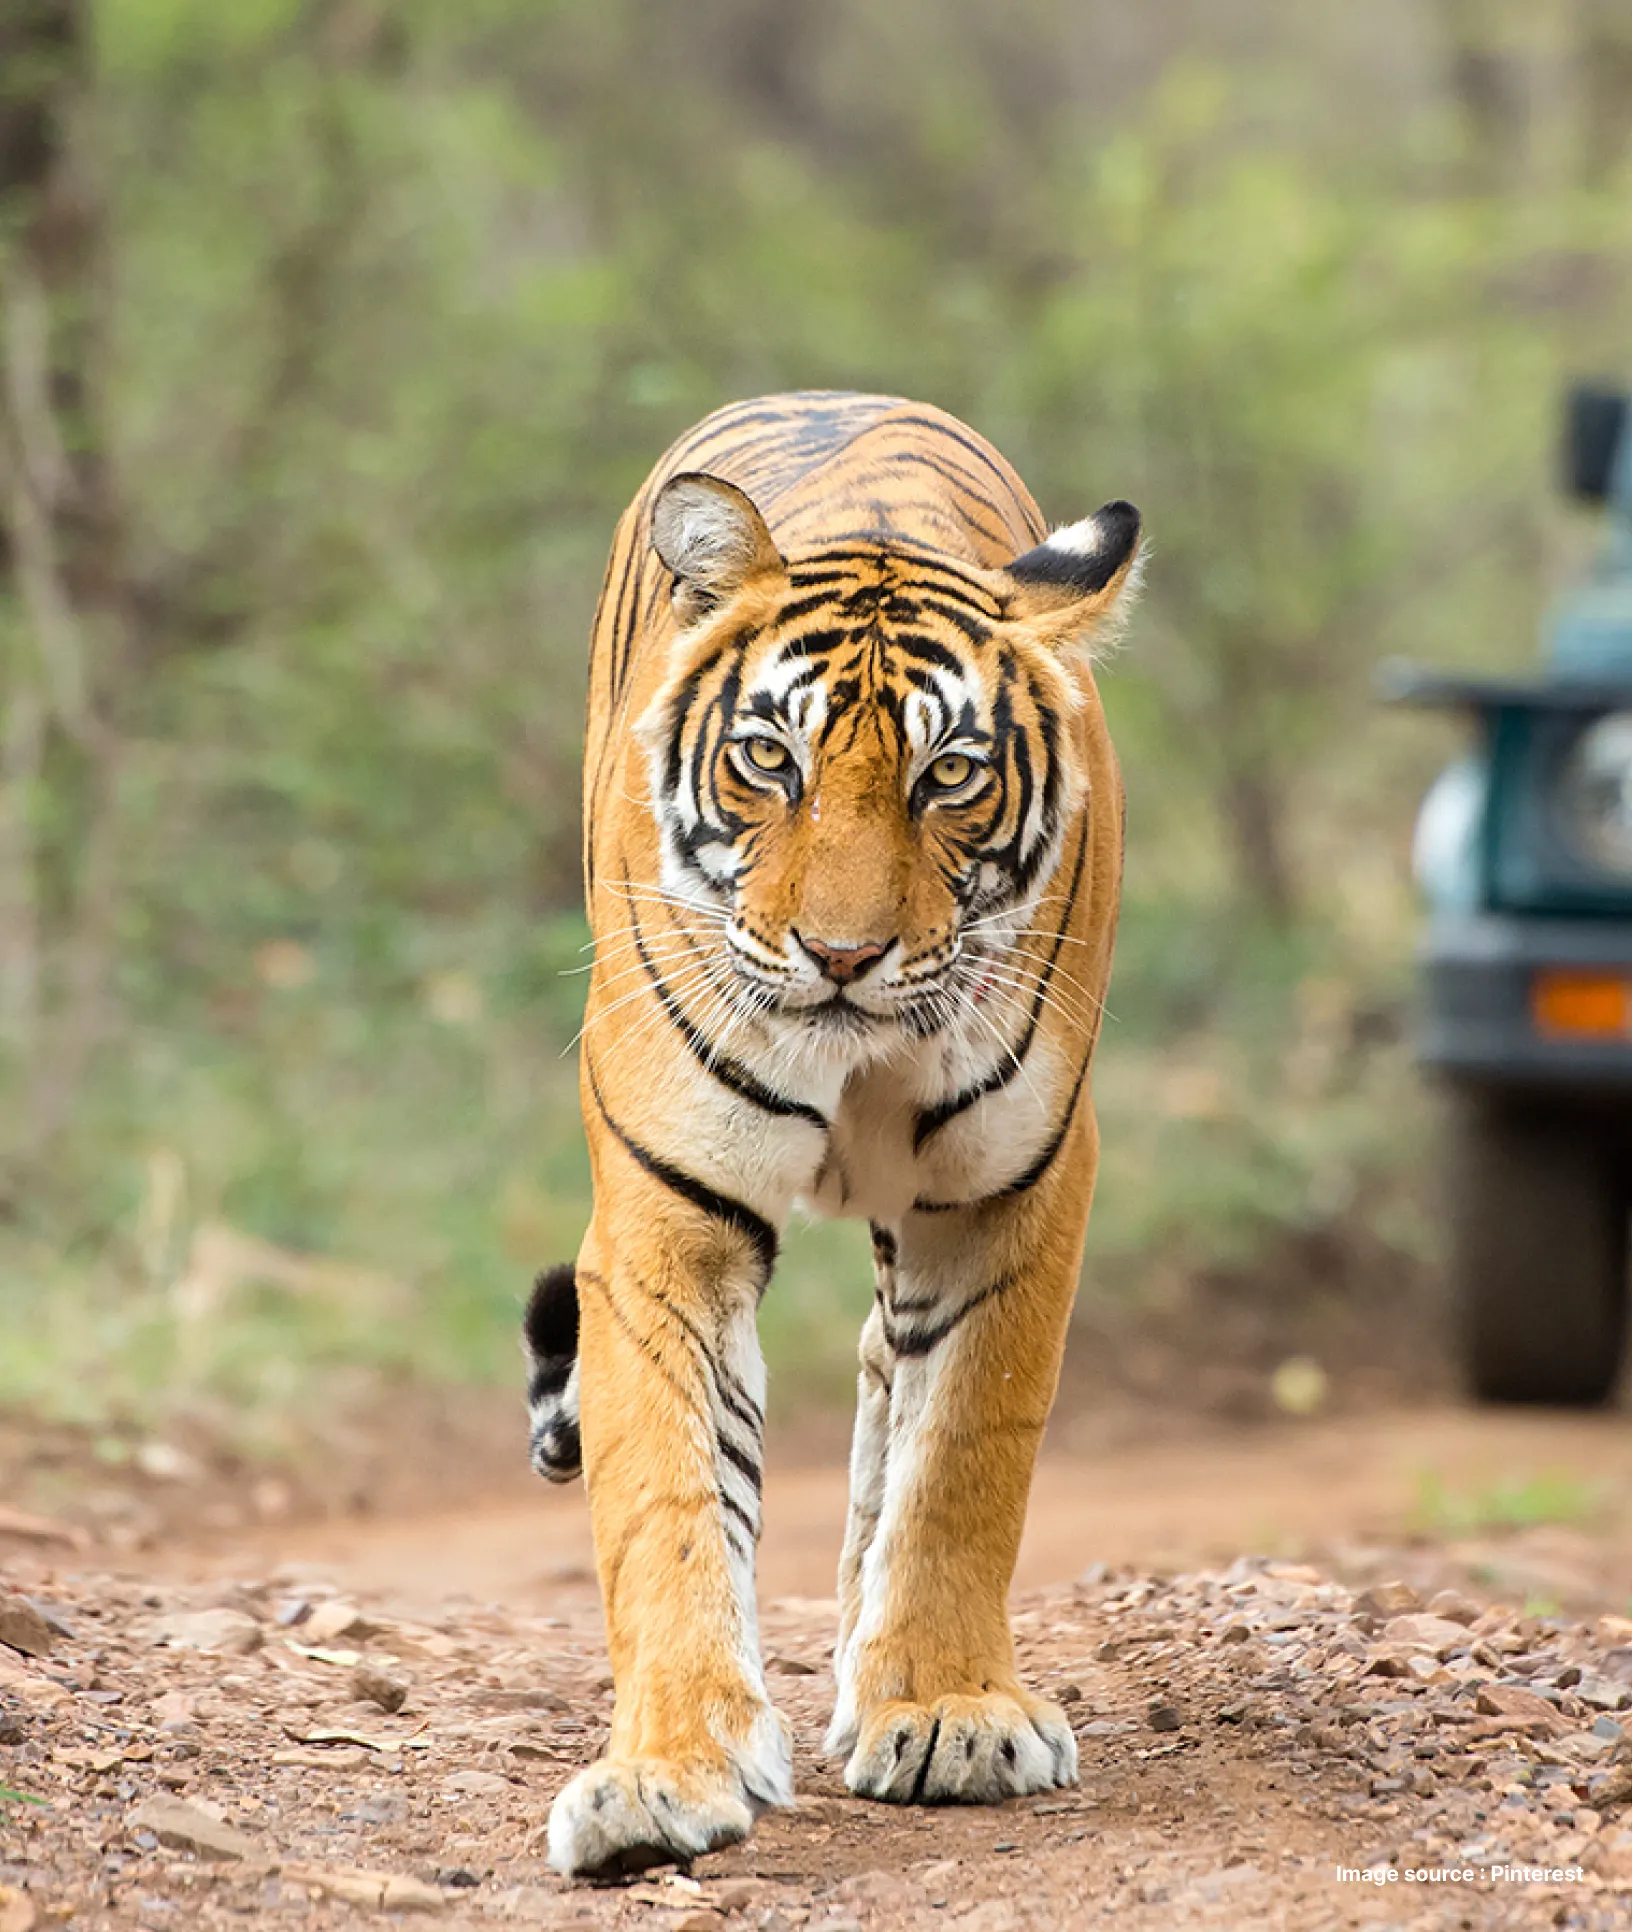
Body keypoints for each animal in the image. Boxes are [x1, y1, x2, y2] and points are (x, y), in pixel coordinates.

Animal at [523, 390, 1140, 1878]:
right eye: (770, 759)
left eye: (950, 775)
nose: (844, 957)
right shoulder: (665, 1216)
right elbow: (670, 1496)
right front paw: (663, 1775)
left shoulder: (1013, 1194)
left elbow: (964, 1455)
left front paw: (948, 1710)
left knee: (886, 1378)